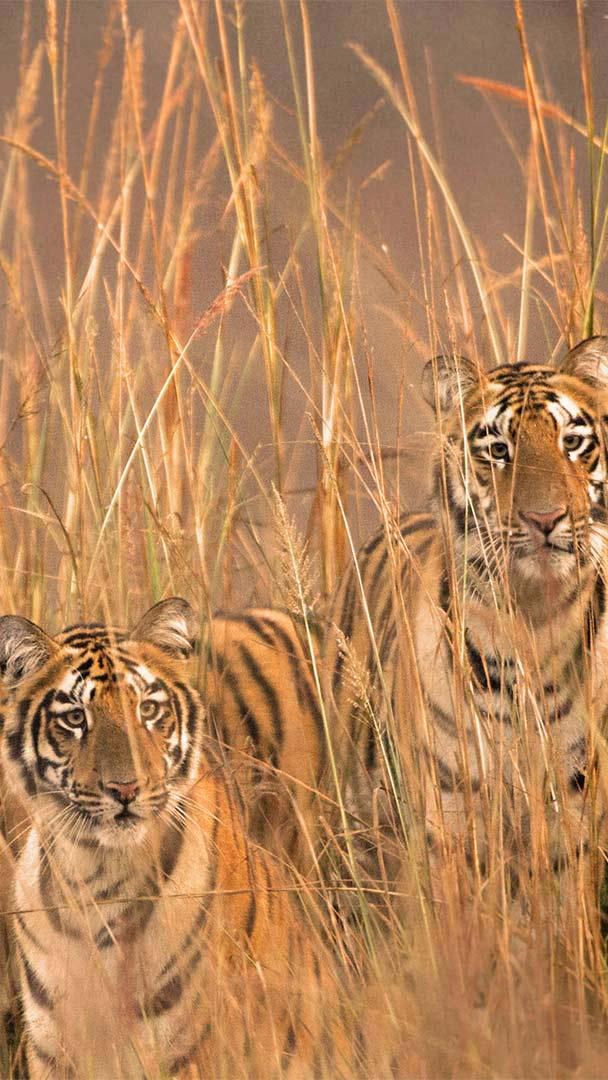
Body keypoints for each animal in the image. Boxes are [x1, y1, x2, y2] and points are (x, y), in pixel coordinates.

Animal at [0, 598, 350, 1079]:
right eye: (74, 718)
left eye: (148, 710)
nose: (125, 788)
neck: (94, 873)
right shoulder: (53, 1048)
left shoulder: (191, 1051)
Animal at [325, 335, 608, 898]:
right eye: (498, 451)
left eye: (571, 442)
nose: (544, 519)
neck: (533, 624)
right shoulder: (450, 820)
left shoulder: (575, 818)